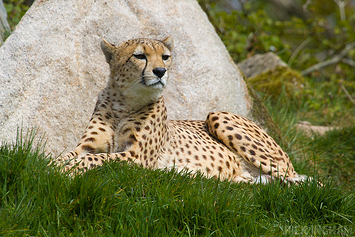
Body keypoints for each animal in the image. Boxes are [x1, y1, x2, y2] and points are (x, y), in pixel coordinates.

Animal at [56, 35, 308, 183]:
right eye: (139, 56)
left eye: (165, 57)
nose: (160, 71)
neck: (124, 103)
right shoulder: (86, 146)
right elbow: (68, 154)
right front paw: (55, 164)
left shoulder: (137, 158)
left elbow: (97, 159)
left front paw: (69, 169)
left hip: (218, 115)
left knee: (301, 182)